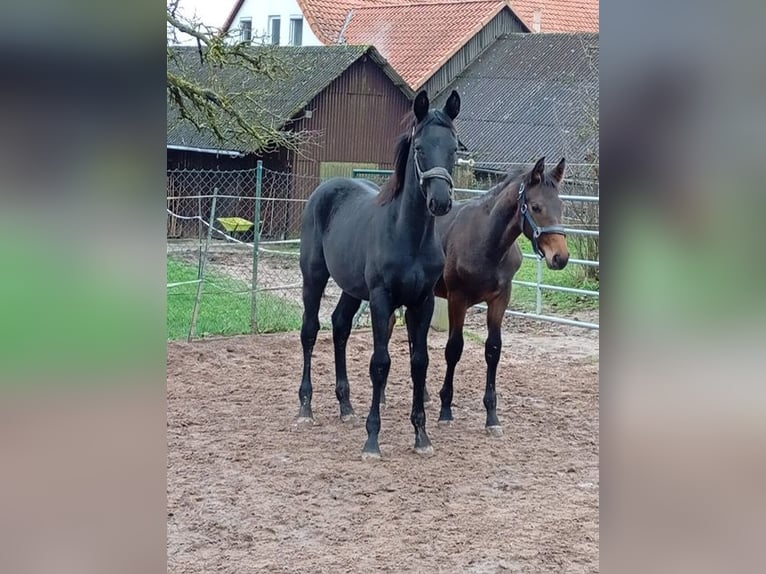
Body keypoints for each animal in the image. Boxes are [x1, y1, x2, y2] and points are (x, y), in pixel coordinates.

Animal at [298, 90, 462, 460]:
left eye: (454, 148)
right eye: (419, 147)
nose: (440, 202)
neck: (409, 236)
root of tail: (324, 189)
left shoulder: (423, 301)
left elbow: (419, 362)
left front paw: (422, 436)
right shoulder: (381, 299)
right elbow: (380, 363)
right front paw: (372, 440)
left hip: (351, 288)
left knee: (340, 326)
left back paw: (346, 406)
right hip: (313, 277)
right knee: (310, 331)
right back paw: (305, 407)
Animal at [432, 158, 568, 436]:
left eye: (561, 206)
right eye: (536, 207)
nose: (561, 257)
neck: (487, 242)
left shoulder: (500, 299)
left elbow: (493, 349)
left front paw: (492, 417)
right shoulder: (457, 299)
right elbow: (454, 348)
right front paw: (445, 410)